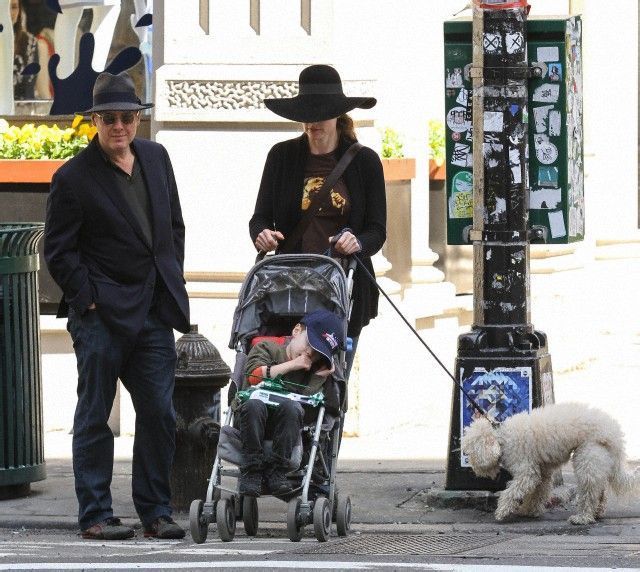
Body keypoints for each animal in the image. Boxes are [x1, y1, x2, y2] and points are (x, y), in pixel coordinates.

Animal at [460, 402, 640, 524]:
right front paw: (529, 510)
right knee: (599, 491)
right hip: (597, 461)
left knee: (589, 493)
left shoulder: (527, 473)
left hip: (587, 459)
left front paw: (502, 511)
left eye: (469, 452)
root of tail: (615, 435)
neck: (502, 437)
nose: (473, 469)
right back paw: (597, 512)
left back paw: (582, 517)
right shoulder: (542, 472)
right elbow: (537, 492)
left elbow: (511, 492)